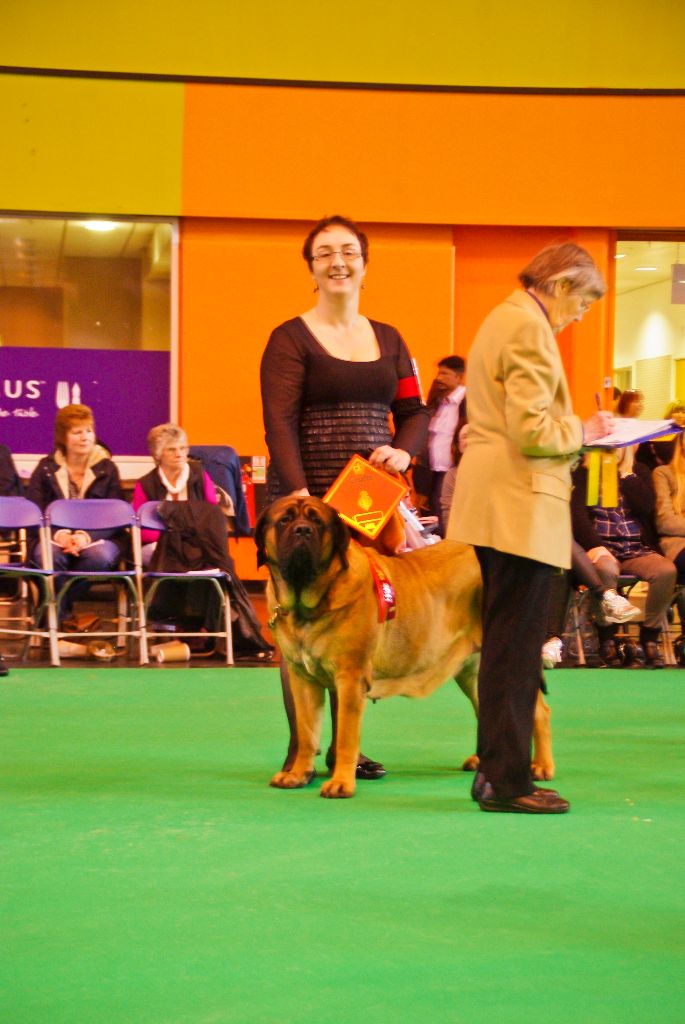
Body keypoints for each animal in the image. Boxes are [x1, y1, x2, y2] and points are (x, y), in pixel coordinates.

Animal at [253, 495, 552, 798]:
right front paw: (298, 774)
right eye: (285, 520)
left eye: (317, 522)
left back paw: (541, 766)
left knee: (538, 710)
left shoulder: (350, 677)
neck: (309, 600)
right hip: (473, 670)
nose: (303, 530)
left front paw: (341, 783)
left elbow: (346, 735)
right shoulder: (302, 678)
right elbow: (306, 732)